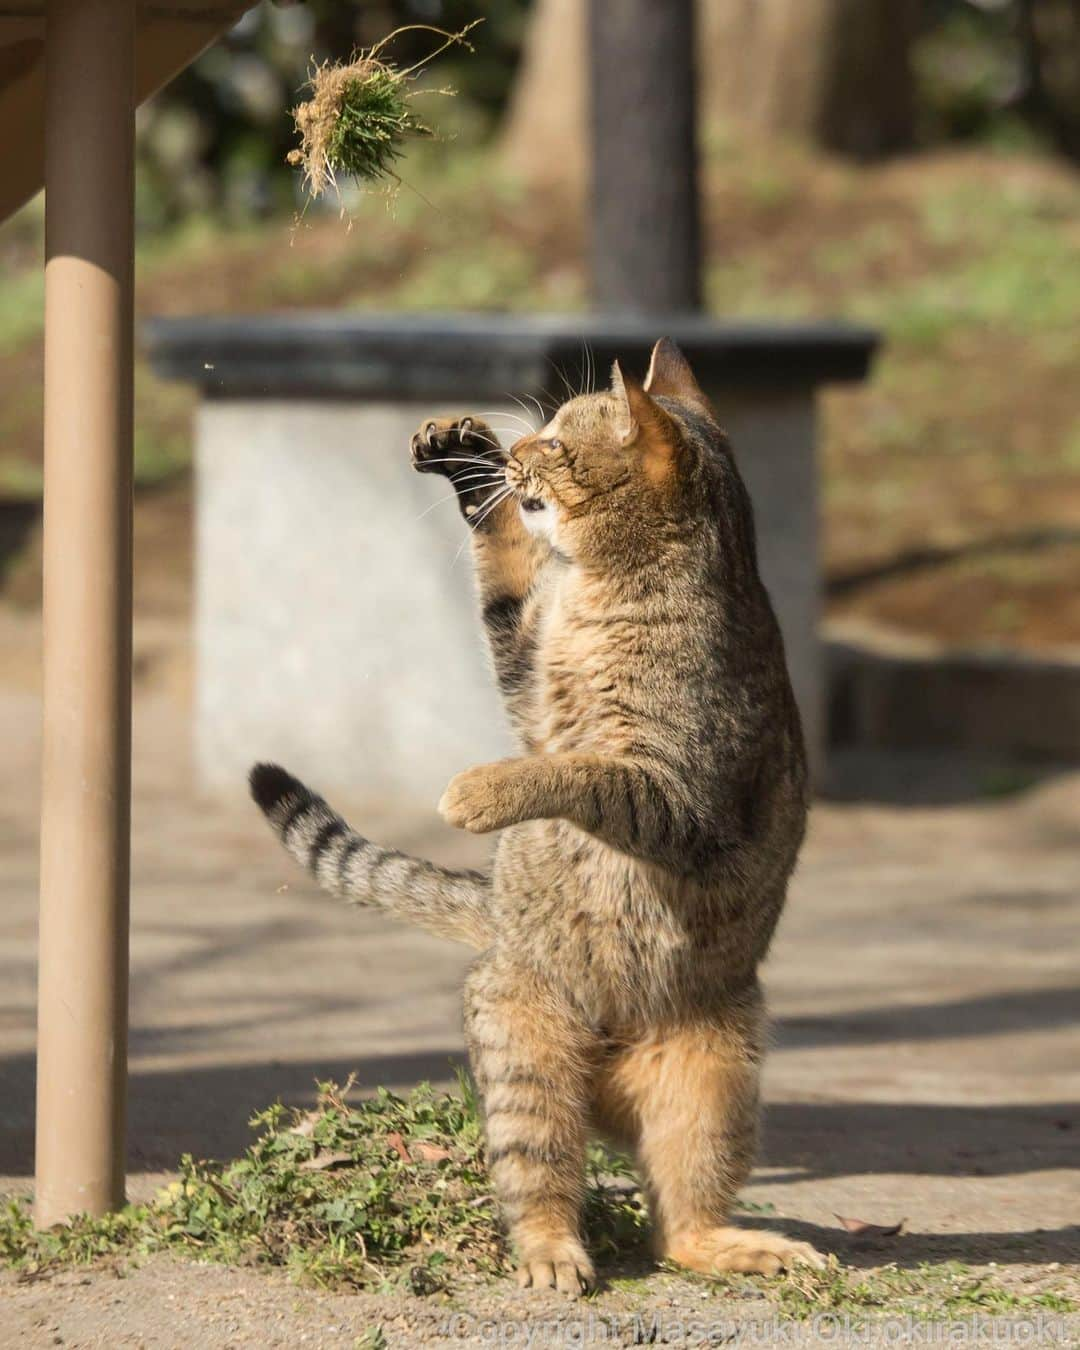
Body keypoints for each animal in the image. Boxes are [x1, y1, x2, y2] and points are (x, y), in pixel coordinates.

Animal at [253, 334, 826, 1285]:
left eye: (558, 440)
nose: (519, 447)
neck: (606, 588)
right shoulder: (526, 674)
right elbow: (507, 582)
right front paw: (465, 462)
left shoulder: (680, 793)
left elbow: (572, 772)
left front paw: (479, 790)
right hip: (530, 1056)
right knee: (548, 1185)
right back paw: (559, 1253)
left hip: (714, 1083)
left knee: (679, 1224)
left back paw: (735, 1246)